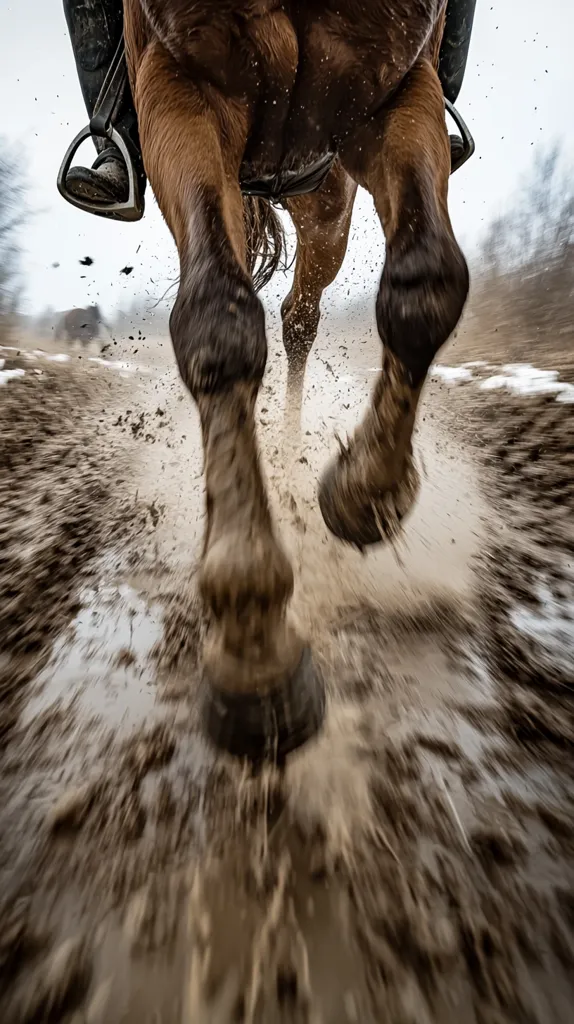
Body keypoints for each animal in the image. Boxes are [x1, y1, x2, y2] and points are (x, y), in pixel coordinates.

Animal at [122, 0, 470, 762]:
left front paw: (367, 493)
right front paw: (255, 655)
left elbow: (426, 286)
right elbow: (216, 321)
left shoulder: (397, 86)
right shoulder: (180, 84)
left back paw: (292, 455)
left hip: (326, 198)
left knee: (300, 318)